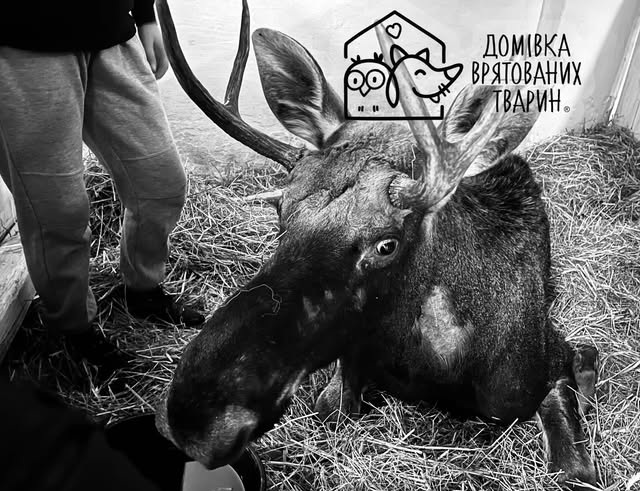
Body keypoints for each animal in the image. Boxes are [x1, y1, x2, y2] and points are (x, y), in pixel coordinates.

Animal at [154, 1, 599, 488]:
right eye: (281, 212)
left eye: (388, 244)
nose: (196, 417)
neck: (434, 365)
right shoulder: (352, 354)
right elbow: (332, 406)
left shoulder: (545, 363)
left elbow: (576, 463)